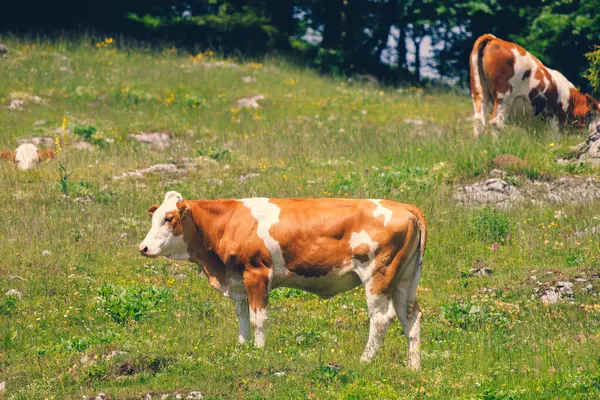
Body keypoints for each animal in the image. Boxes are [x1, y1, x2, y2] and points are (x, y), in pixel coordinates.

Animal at [138, 191, 426, 368]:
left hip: (378, 276)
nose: (143, 248)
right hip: (404, 280)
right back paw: (413, 367)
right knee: (411, 318)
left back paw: (364, 360)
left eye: (169, 218)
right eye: (154, 217)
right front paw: (242, 346)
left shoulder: (256, 273)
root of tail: (404, 206)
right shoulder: (237, 278)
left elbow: (259, 318)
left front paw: (258, 351)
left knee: (381, 319)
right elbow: (242, 316)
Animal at [468, 33, 600, 136]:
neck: (571, 99)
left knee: (479, 120)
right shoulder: (555, 122)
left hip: (478, 93)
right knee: (496, 123)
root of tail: (495, 39)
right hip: (503, 96)